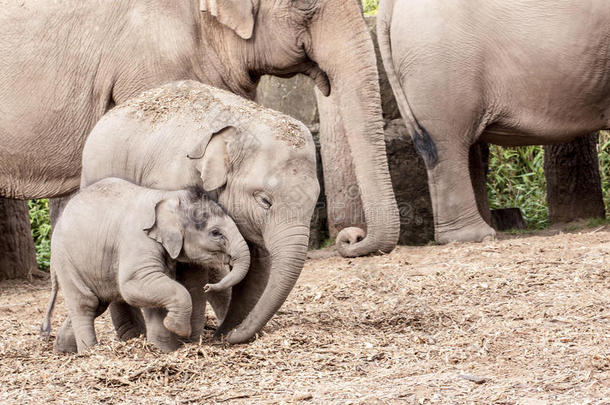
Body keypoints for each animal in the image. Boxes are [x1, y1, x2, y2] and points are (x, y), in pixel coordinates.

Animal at [41, 176, 248, 350]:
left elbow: (156, 296)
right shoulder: (138, 241)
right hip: (67, 261)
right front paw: (176, 329)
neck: (169, 196)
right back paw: (89, 351)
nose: (208, 286)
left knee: (96, 304)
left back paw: (63, 350)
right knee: (85, 304)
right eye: (216, 233)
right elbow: (133, 285)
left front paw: (163, 349)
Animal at [82, 80, 318, 342]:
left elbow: (258, 267)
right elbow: (190, 267)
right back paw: (134, 336)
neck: (243, 122)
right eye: (265, 201)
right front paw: (192, 340)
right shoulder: (174, 181)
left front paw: (225, 336)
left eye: (315, 201)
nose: (229, 336)